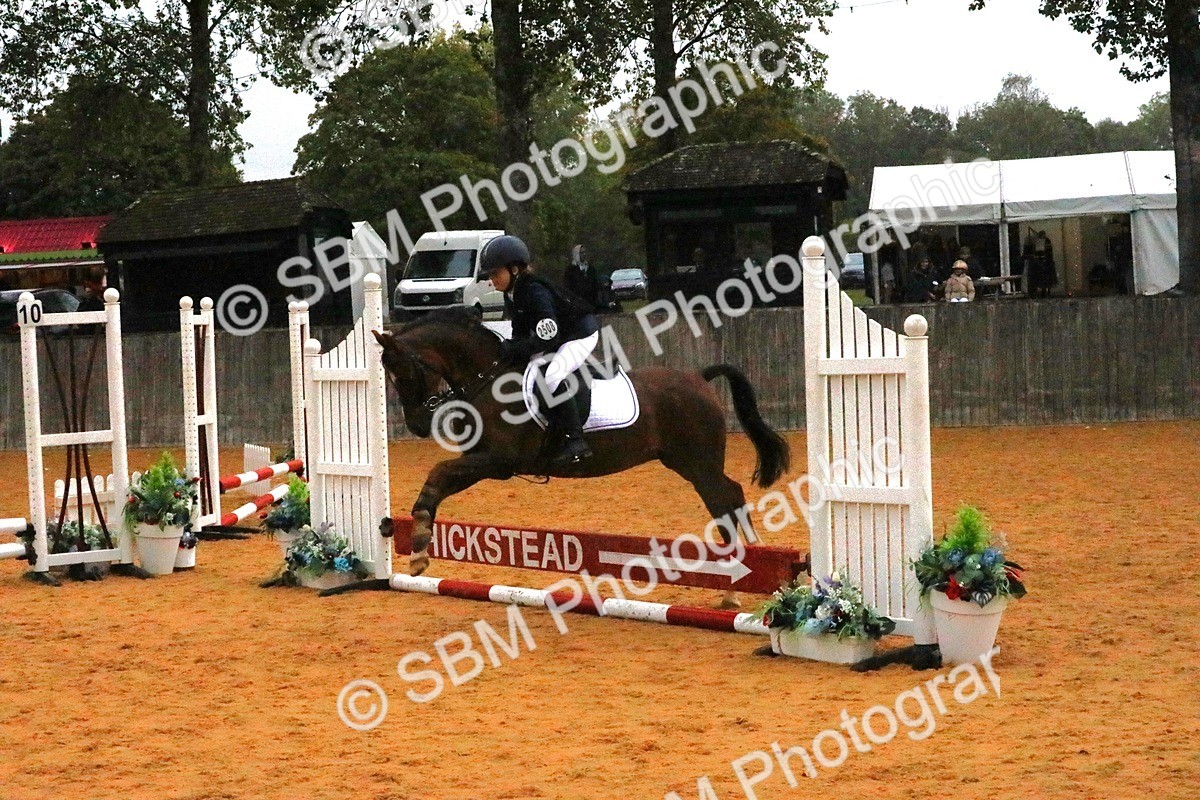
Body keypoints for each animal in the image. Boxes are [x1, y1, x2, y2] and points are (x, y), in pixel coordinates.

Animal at [373, 309, 790, 605]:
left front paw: (419, 546)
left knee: (725, 501)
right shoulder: (481, 460)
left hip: (698, 464)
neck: (488, 379)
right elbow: (439, 480)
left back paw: (738, 583)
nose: (418, 426)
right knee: (731, 498)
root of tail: (699, 379)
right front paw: (420, 544)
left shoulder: (497, 461)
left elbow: (439, 471)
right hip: (691, 463)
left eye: (404, 372)